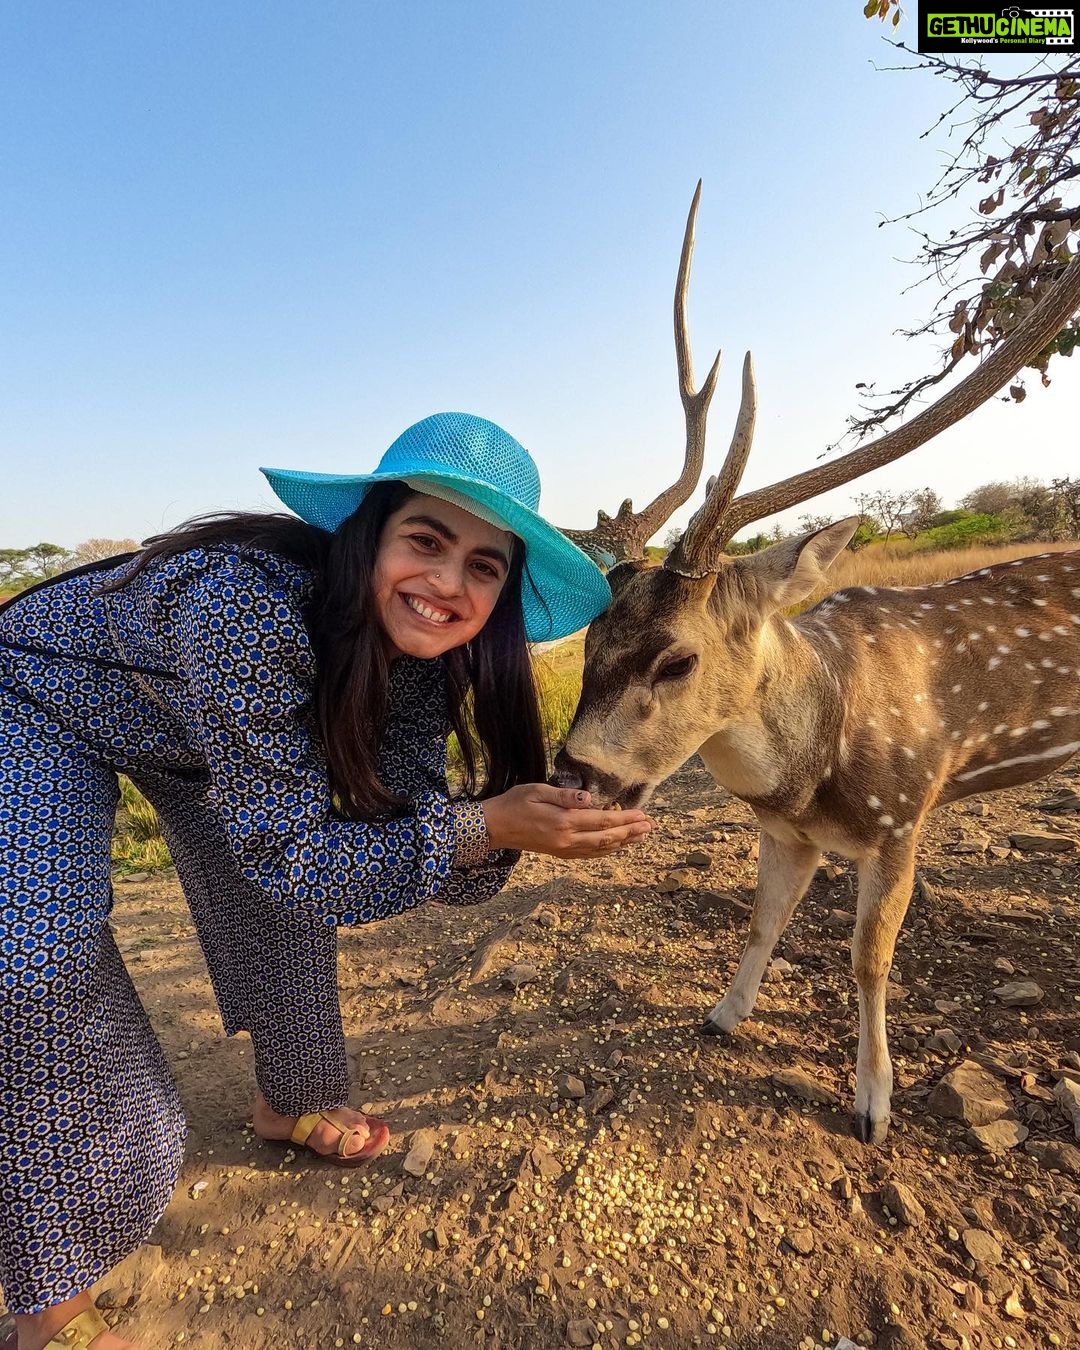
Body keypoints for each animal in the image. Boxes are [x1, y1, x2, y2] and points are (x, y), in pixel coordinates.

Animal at [553, 184, 1080, 1145]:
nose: (575, 775)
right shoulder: (783, 831)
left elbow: (868, 958)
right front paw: (722, 1015)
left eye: (677, 660)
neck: (815, 769)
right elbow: (763, 923)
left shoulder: (905, 816)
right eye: (590, 639)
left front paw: (874, 1102)